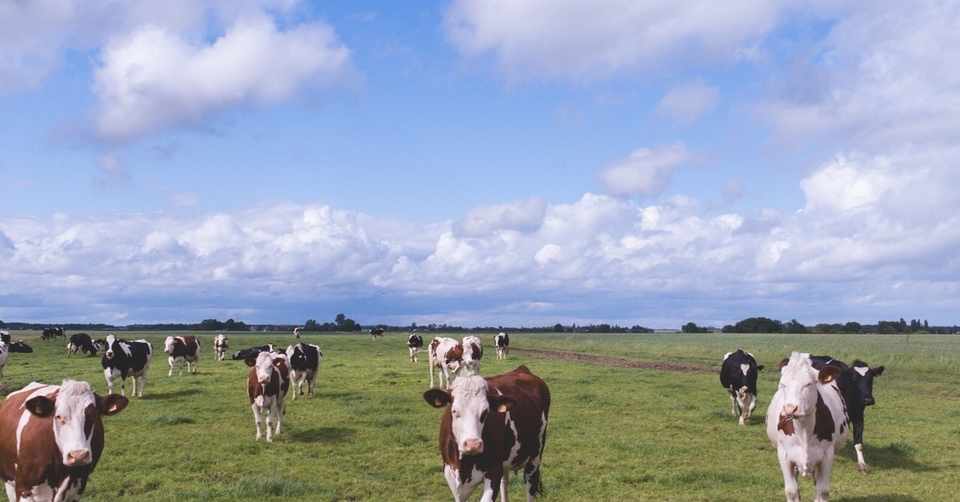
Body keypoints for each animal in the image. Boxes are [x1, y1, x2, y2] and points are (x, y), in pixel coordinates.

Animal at [424, 364, 552, 502]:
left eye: (485, 412)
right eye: (454, 411)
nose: (473, 444)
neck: (464, 465)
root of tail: (522, 369)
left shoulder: (494, 471)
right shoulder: (451, 475)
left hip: (535, 456)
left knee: (530, 484)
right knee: (504, 483)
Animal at [764, 352, 848, 502]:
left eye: (808, 384)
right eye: (783, 384)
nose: (790, 409)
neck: (803, 430)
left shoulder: (827, 455)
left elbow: (822, 491)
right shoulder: (784, 455)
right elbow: (791, 491)